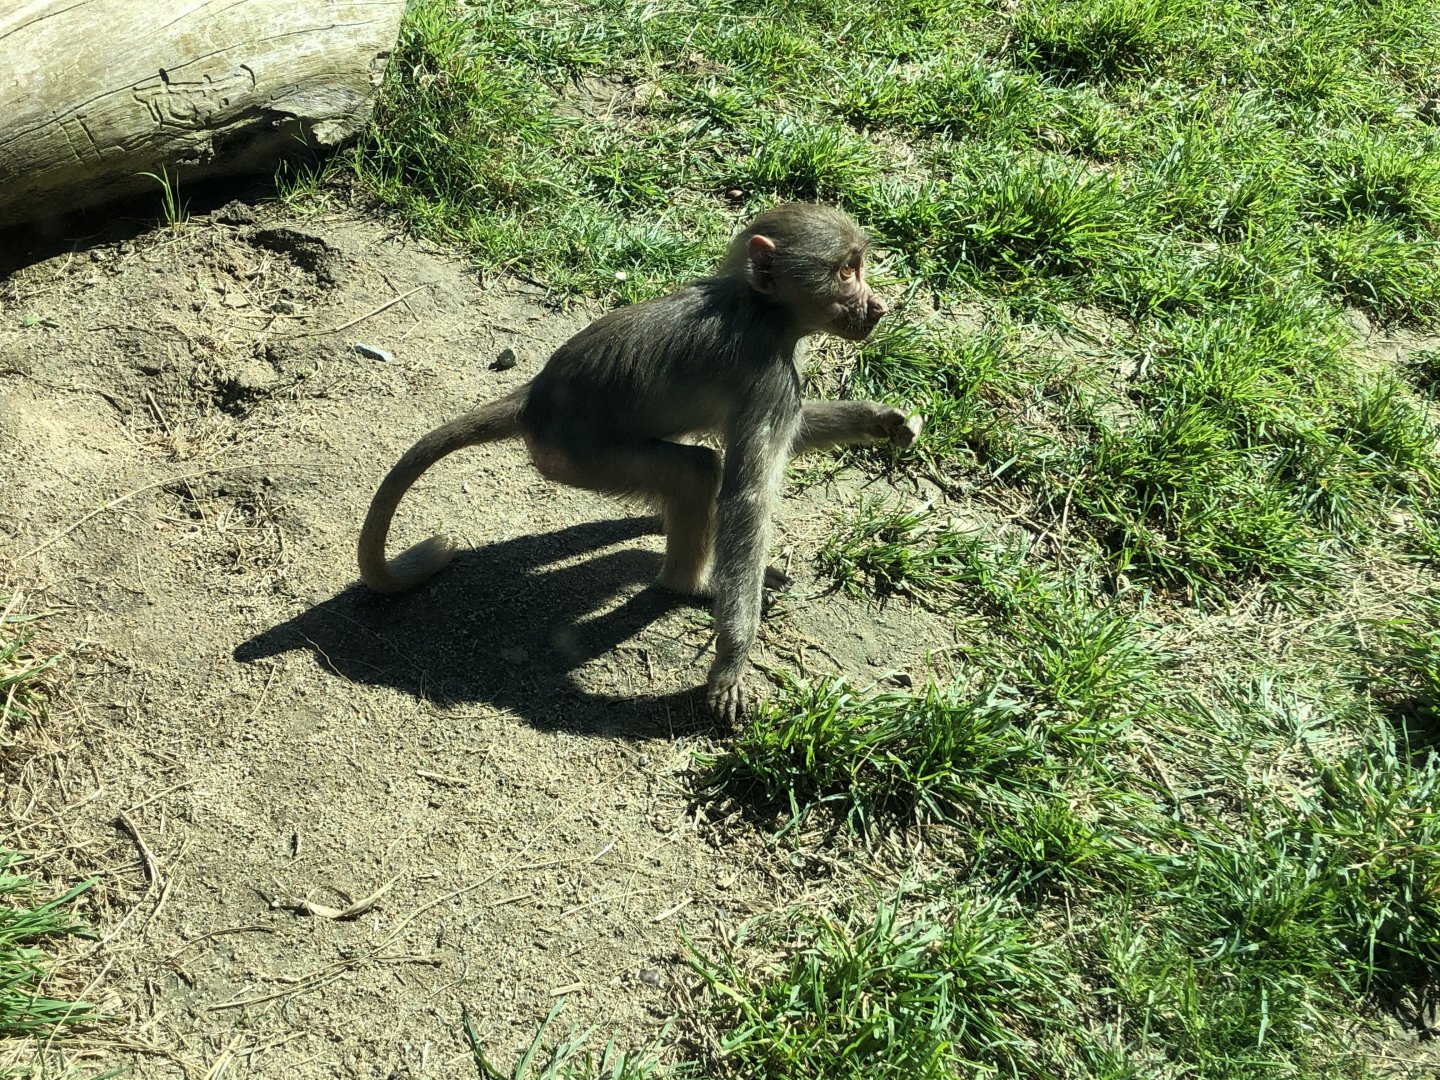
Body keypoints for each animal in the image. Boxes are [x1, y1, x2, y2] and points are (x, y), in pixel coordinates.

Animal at [358, 203, 923, 723]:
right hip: (575, 457)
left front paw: (883, 421)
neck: (760, 306)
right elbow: (747, 497)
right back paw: (689, 586)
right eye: (846, 271)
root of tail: (533, 400)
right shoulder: (769, 375)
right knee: (699, 472)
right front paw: (731, 661)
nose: (879, 306)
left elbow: (793, 437)